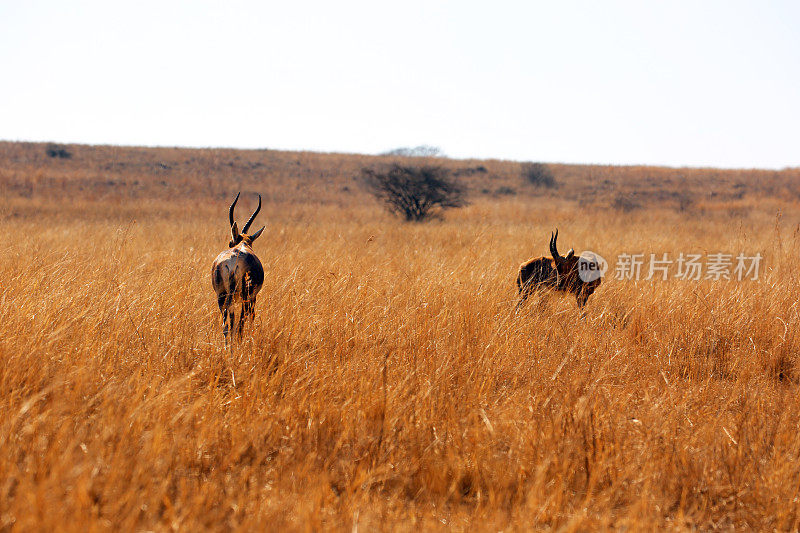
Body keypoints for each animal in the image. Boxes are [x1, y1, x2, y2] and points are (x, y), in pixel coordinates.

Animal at [212, 192, 266, 340]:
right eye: (230, 242)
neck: (243, 244)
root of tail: (231, 262)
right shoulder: (252, 297)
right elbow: (251, 317)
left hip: (222, 296)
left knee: (226, 323)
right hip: (244, 297)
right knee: (239, 321)